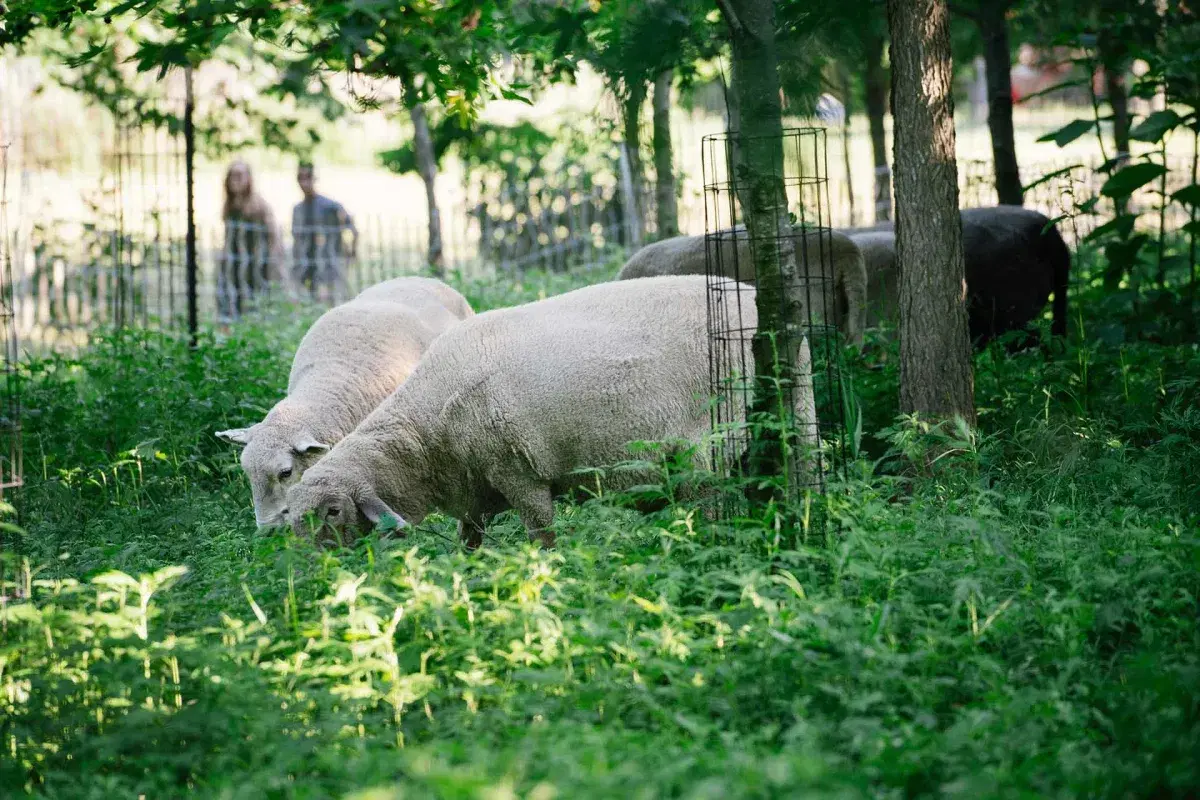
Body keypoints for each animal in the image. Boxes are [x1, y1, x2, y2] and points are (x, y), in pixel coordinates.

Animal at [285, 277, 820, 551]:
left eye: (332, 510)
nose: (319, 574)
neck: (423, 435)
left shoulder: (516, 469)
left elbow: (540, 532)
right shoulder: (473, 487)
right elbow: (469, 538)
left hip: (709, 442)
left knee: (713, 506)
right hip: (790, 409)